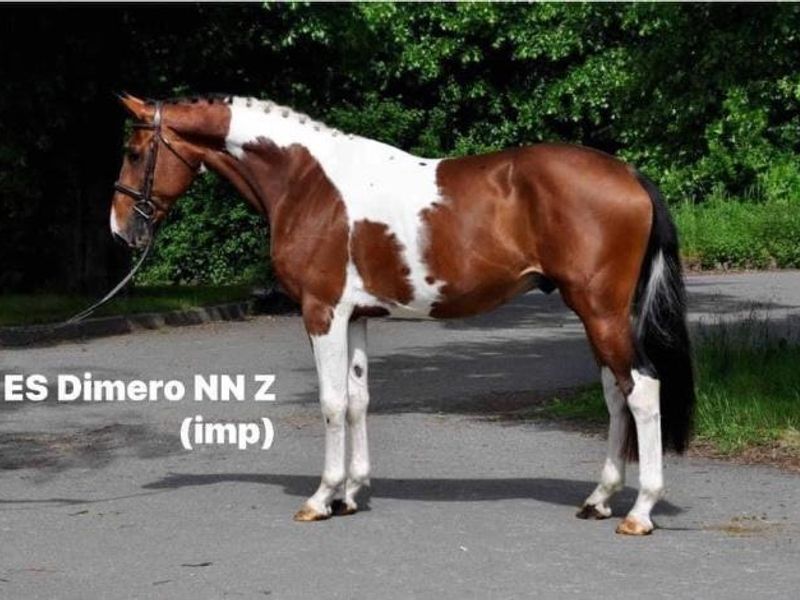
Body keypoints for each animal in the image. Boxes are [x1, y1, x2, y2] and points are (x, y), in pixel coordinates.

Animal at [111, 93, 695, 535]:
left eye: (135, 151)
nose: (120, 230)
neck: (308, 182)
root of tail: (630, 175)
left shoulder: (321, 311)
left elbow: (331, 402)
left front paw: (321, 498)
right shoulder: (356, 316)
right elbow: (357, 401)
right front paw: (350, 494)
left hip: (600, 311)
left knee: (641, 389)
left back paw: (640, 512)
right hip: (598, 315)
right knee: (615, 394)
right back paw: (599, 499)